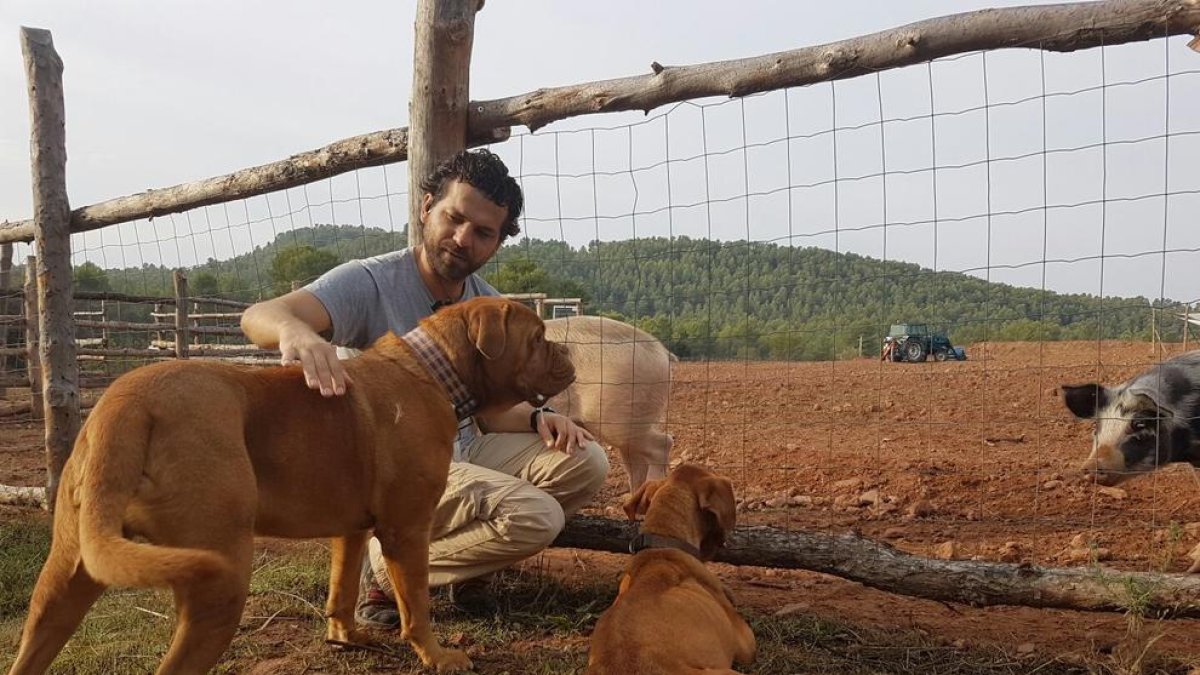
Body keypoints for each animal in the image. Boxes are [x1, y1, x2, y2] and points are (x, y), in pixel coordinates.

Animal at [7, 295, 573, 672]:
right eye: (538, 338)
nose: (568, 355)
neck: (435, 371)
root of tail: (127, 400)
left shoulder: (352, 528)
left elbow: (341, 589)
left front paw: (345, 637)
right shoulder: (407, 530)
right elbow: (416, 605)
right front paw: (438, 656)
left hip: (66, 573)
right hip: (219, 580)